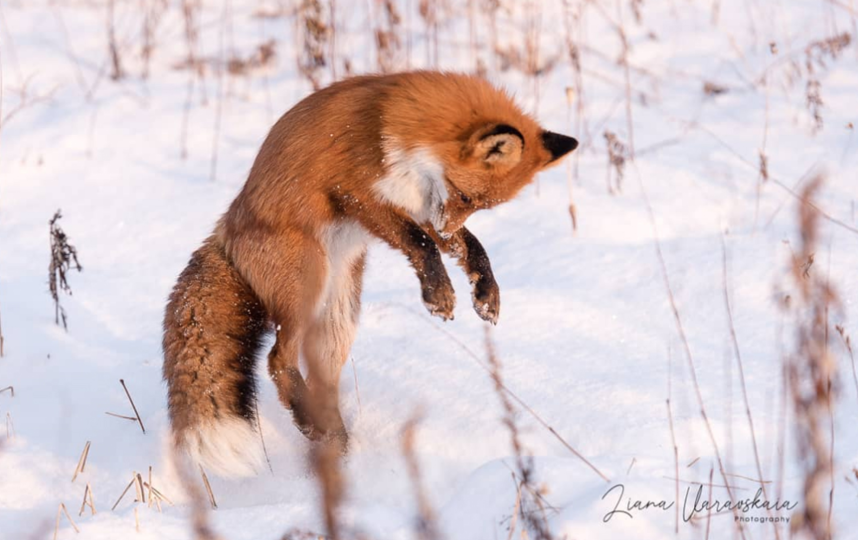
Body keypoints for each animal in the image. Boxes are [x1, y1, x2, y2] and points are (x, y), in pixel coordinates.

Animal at [160, 70, 576, 476]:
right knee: (277, 360)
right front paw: (438, 294)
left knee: (318, 381)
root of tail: (224, 231)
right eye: (466, 196)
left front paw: (486, 292)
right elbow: (421, 244)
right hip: (306, 281)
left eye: (480, 205)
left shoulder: (422, 206)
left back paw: (335, 447)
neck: (396, 132)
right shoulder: (357, 193)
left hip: (339, 319)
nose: (445, 230)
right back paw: (311, 423)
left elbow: (472, 247)